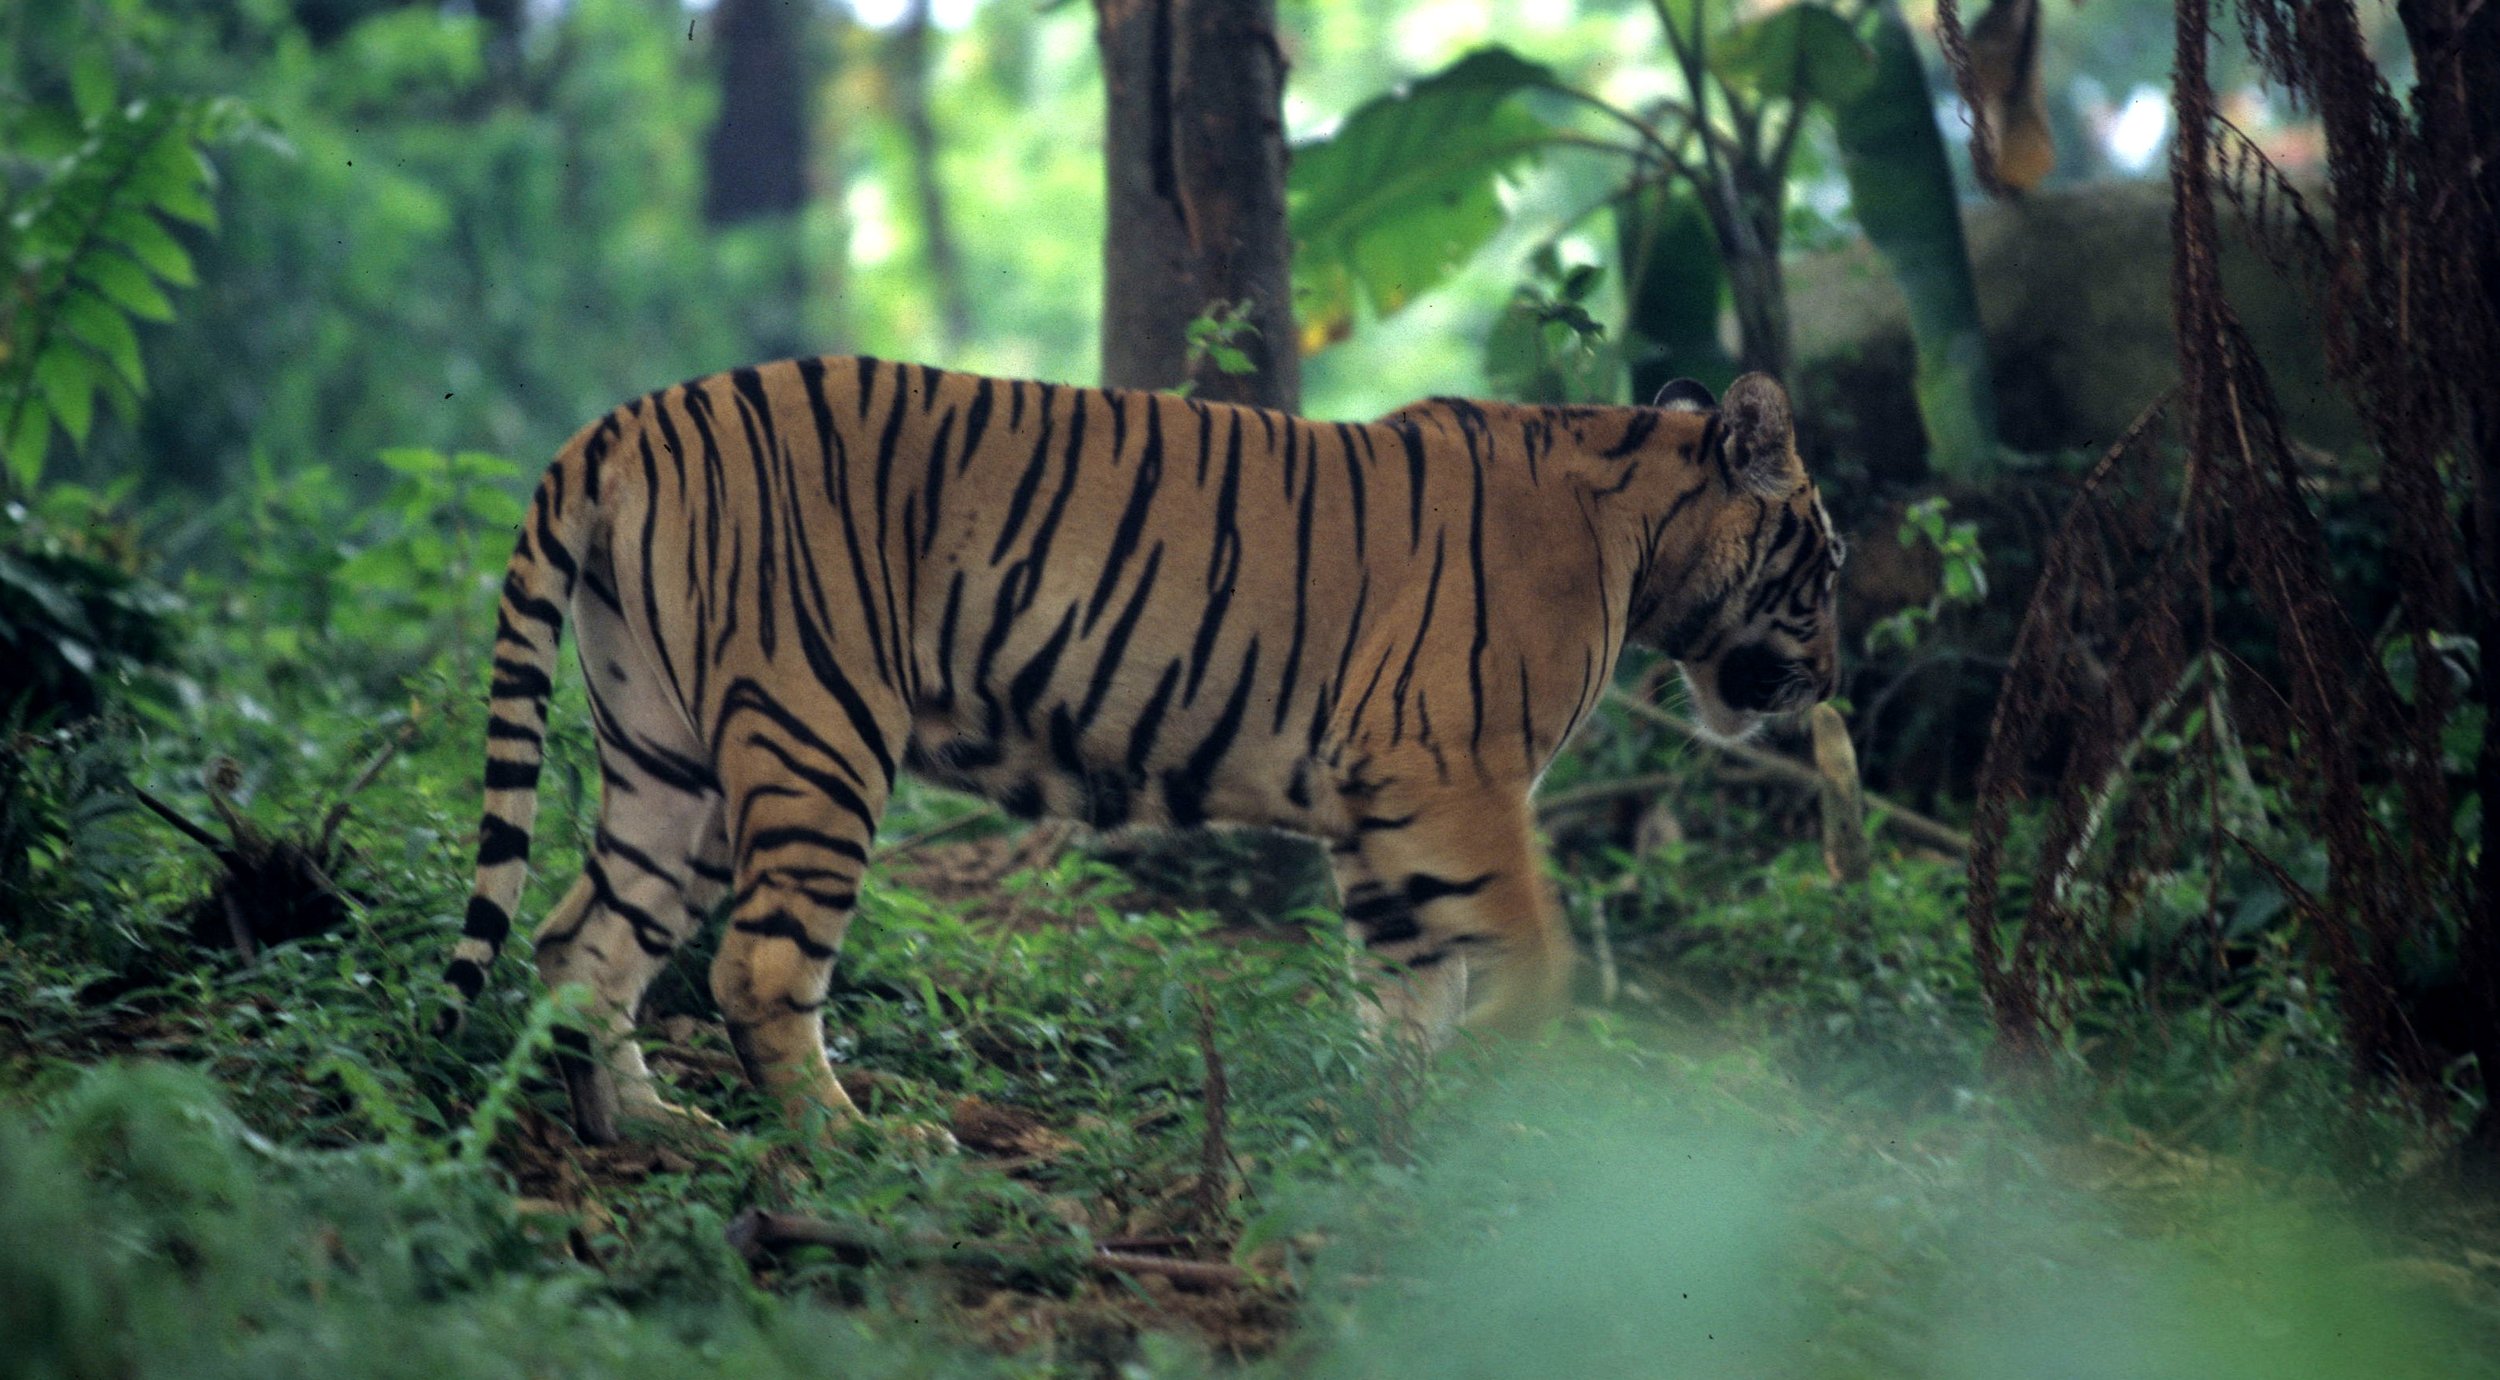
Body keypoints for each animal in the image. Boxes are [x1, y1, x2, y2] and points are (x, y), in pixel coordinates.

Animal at [439, 358, 1844, 1146]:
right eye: (1826, 566)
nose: (1834, 679)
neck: (1643, 535)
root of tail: (629, 420)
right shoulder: (1450, 771)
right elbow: (1533, 962)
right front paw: (1495, 1092)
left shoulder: (1383, 809)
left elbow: (1401, 998)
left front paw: (1392, 1127)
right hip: (815, 729)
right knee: (755, 965)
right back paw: (850, 1144)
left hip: (667, 760)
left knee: (579, 942)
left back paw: (641, 1126)